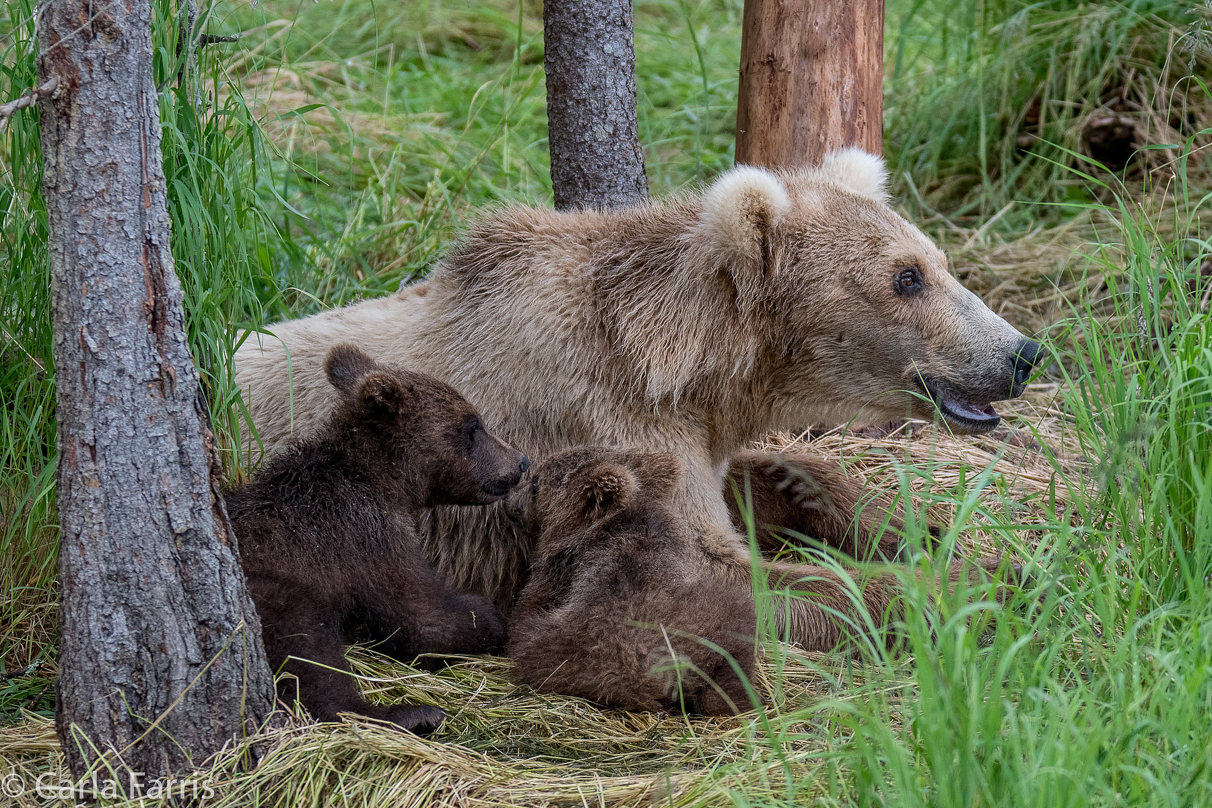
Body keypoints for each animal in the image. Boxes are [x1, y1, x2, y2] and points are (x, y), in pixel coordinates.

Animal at [236, 148, 1042, 649]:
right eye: (907, 277)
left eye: (938, 261)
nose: (1021, 353)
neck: (680, 361)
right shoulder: (596, 425)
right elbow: (713, 573)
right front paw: (977, 583)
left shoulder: (690, 431)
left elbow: (760, 479)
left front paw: (918, 525)